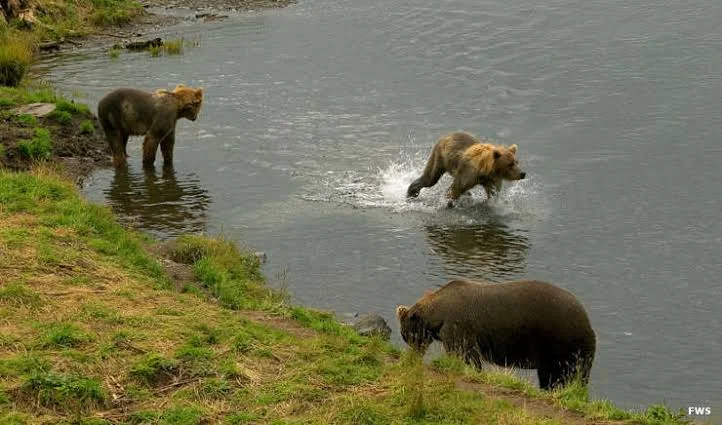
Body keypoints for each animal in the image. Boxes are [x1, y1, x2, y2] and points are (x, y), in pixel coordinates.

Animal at [396, 276, 592, 390]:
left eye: (408, 336)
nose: (413, 355)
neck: (437, 316)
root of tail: (586, 318)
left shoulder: (458, 329)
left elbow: (467, 356)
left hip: (560, 340)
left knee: (565, 374)